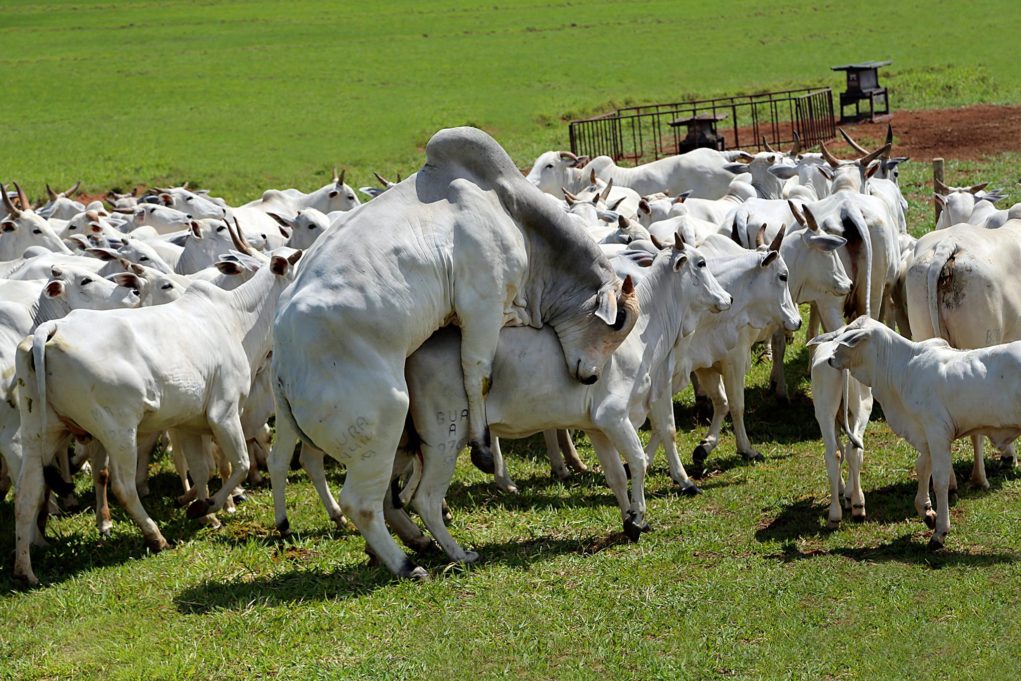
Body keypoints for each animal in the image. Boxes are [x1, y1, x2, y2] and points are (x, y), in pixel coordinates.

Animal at [269, 127, 637, 579]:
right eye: (618, 323)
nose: (590, 377)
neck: (510, 210)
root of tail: (282, 358)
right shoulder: (482, 305)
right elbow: (479, 372)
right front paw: (482, 451)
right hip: (383, 422)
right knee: (363, 502)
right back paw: (406, 562)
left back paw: (414, 541)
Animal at [808, 316, 1021, 551]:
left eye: (847, 338)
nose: (830, 359)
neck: (903, 368)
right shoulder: (924, 434)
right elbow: (922, 467)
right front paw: (926, 512)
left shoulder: (937, 433)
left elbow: (940, 480)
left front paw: (940, 532)